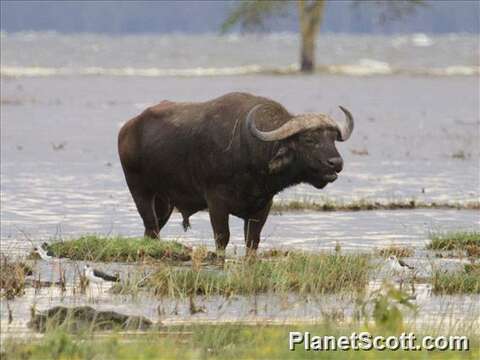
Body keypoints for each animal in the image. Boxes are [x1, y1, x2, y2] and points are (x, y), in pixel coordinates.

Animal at [119, 92, 352, 256]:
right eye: (309, 139)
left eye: (332, 138)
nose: (336, 163)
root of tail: (128, 128)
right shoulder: (216, 202)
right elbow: (222, 238)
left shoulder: (263, 206)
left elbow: (252, 241)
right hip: (140, 191)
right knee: (151, 226)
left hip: (164, 202)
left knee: (151, 231)